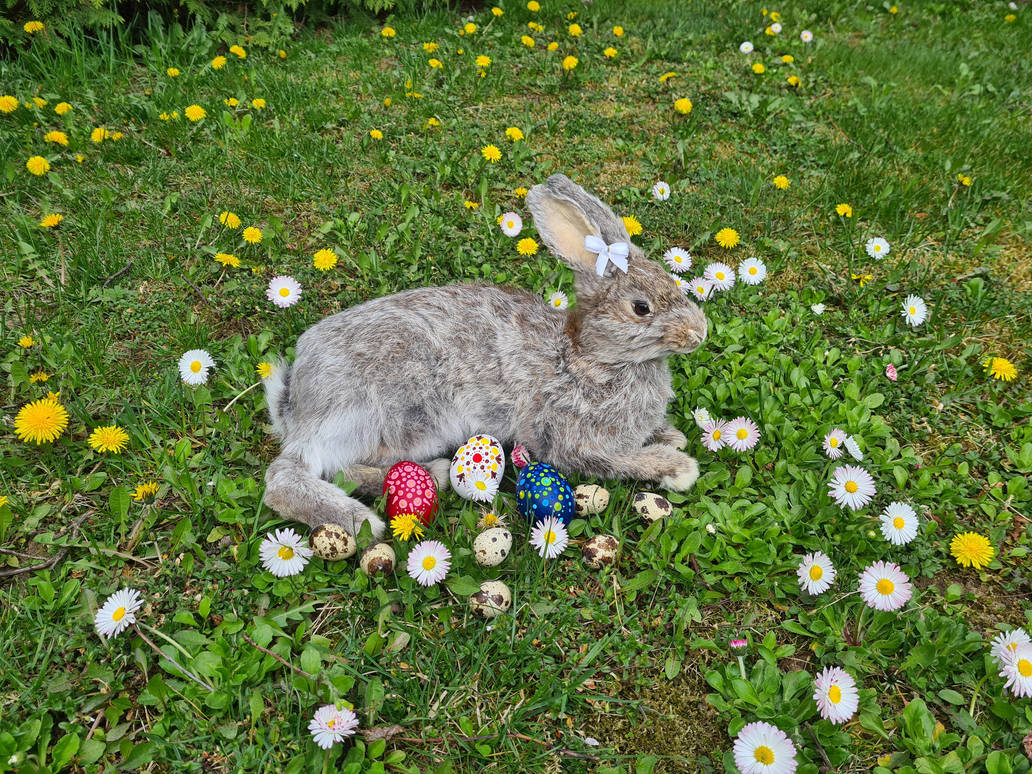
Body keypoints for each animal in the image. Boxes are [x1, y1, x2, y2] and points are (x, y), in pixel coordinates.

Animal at [263, 173, 707, 538]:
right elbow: (619, 460)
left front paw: (672, 435)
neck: (592, 358)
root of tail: (294, 401)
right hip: (382, 412)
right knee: (286, 477)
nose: (699, 332)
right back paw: (362, 521)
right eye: (641, 308)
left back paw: (432, 474)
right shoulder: (572, 442)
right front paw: (677, 467)